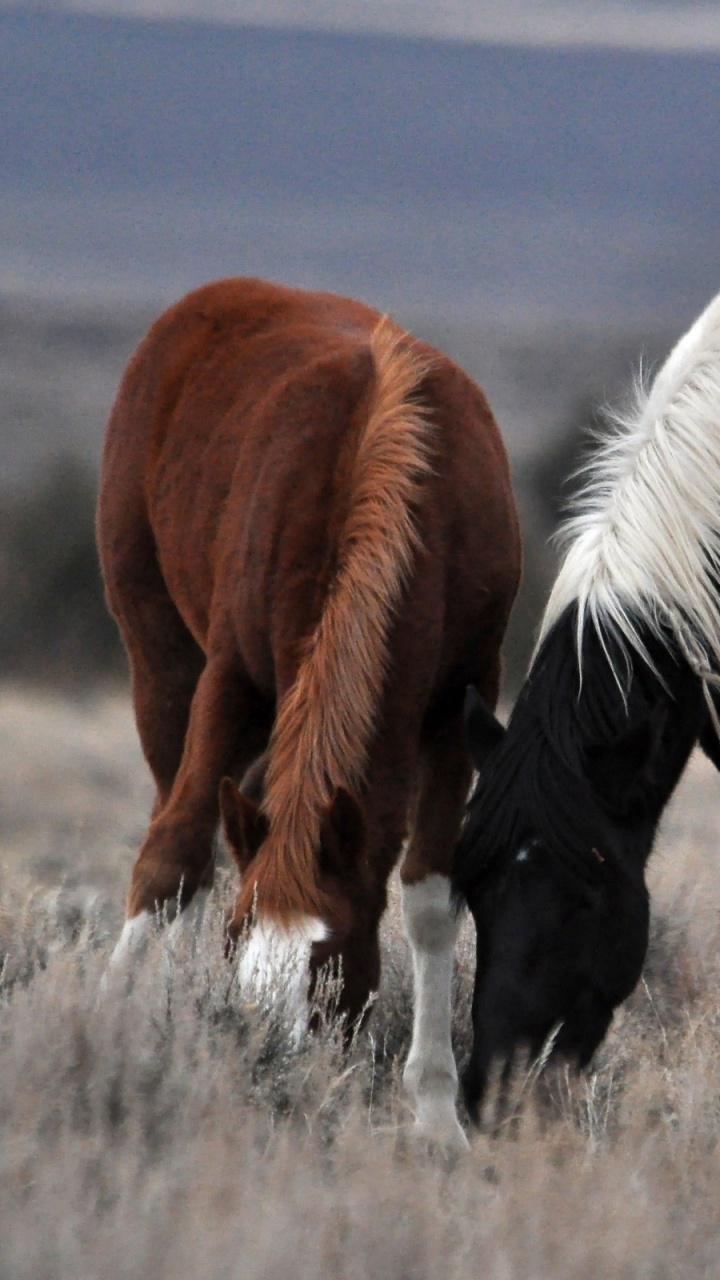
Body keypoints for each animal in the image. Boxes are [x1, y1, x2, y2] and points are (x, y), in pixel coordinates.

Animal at [97, 276, 521, 1151]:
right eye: (238, 943)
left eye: (331, 964)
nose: (269, 1068)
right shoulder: (231, 677)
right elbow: (171, 857)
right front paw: (106, 1022)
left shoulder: (460, 698)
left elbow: (431, 896)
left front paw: (437, 1113)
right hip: (159, 664)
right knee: (178, 819)